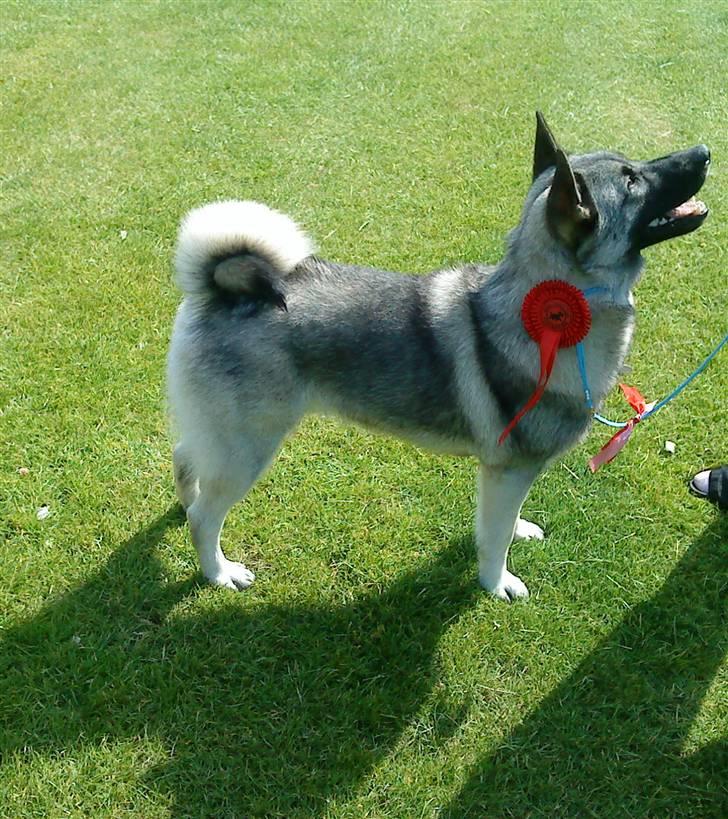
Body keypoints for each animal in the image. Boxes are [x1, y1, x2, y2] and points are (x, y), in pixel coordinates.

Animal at [168, 113, 708, 604]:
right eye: (632, 180)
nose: (704, 151)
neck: (553, 307)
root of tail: (220, 290)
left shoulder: (505, 473)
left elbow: (503, 521)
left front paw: (519, 532)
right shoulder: (510, 469)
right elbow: (494, 538)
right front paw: (496, 583)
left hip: (218, 433)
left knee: (185, 463)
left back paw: (183, 506)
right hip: (249, 447)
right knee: (205, 517)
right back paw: (219, 572)